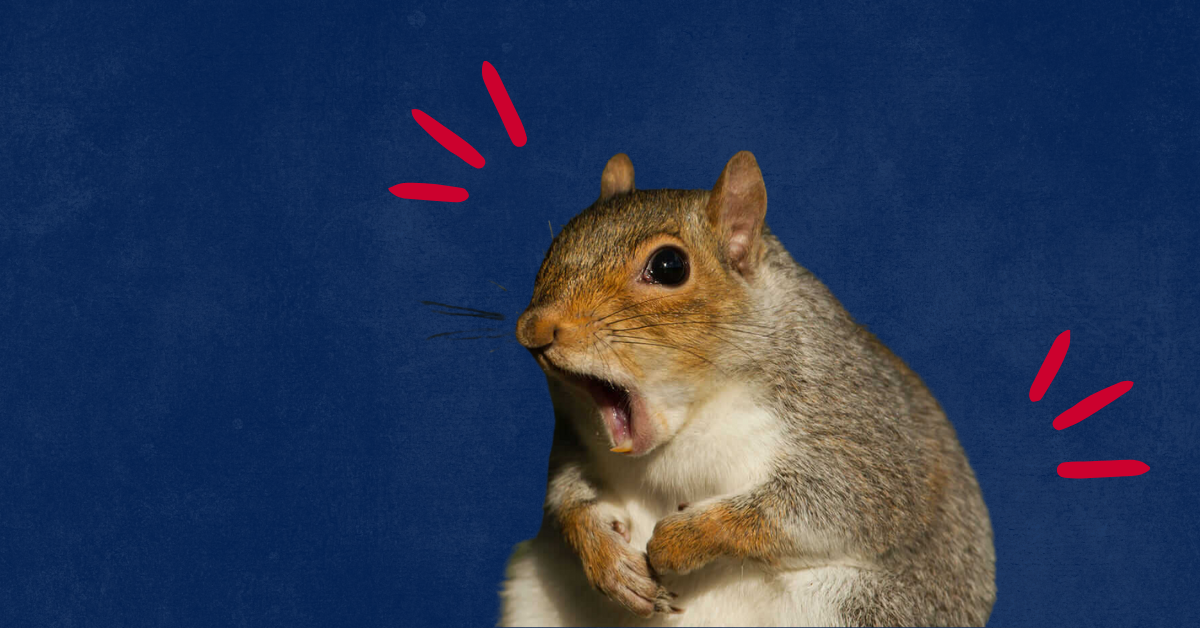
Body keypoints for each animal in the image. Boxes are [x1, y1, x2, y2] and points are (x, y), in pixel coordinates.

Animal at [498, 152, 996, 627]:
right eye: (555, 245)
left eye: (669, 266)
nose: (533, 329)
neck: (689, 422)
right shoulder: (573, 439)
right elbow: (567, 495)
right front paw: (606, 558)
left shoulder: (855, 428)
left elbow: (833, 505)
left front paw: (683, 539)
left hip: (860, 606)